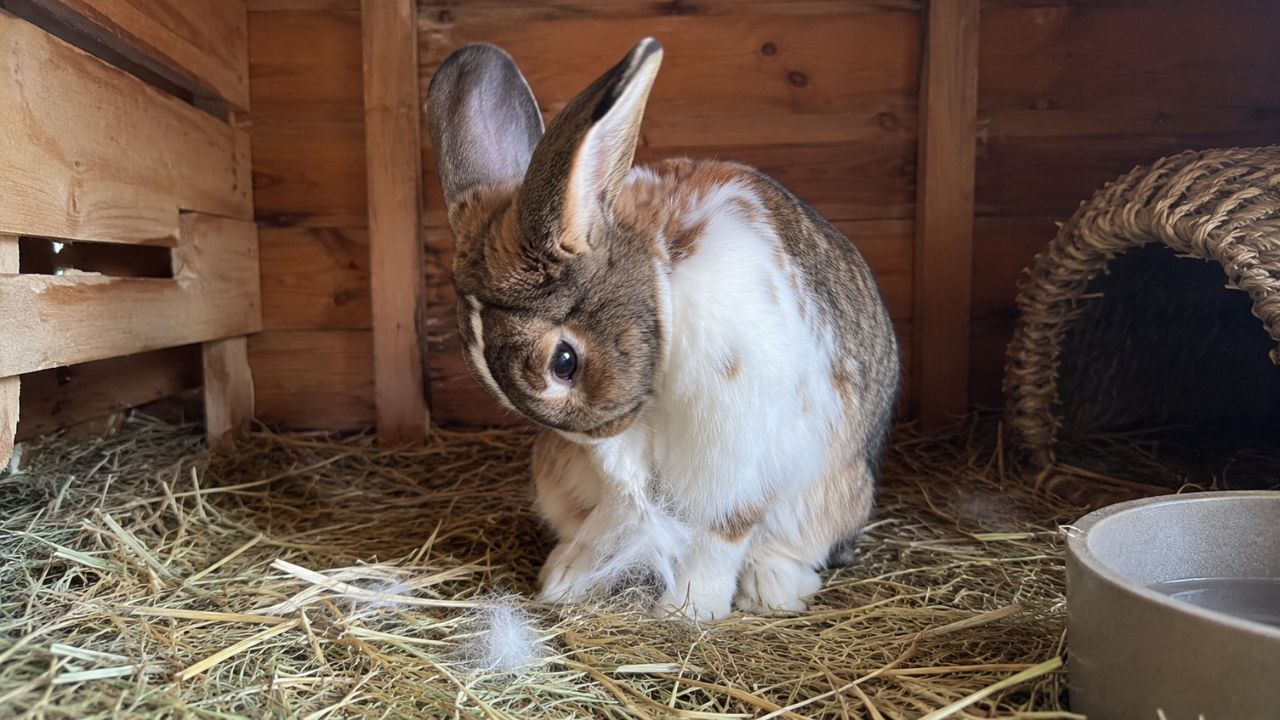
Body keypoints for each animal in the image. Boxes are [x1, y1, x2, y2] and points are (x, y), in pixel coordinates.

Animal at [425, 37, 899, 621]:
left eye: (564, 362)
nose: (595, 432)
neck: (663, 288)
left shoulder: (739, 454)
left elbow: (721, 532)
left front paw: (689, 609)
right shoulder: (619, 470)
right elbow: (621, 511)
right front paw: (569, 582)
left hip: (830, 495)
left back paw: (770, 589)